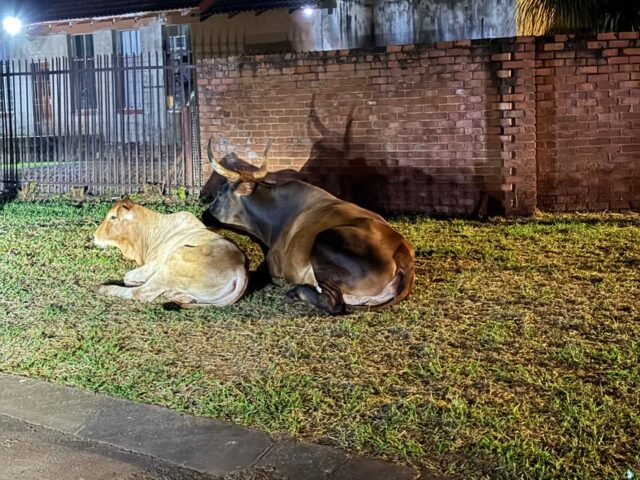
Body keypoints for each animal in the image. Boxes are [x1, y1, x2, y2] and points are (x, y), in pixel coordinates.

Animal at [93, 198, 248, 307]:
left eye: (113, 217)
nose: (94, 236)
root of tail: (240, 268)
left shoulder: (154, 265)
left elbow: (128, 277)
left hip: (174, 260)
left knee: (142, 293)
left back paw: (102, 288)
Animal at [206, 138, 415, 315]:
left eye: (220, 192)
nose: (205, 215)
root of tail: (402, 252)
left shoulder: (276, 269)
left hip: (322, 242)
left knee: (333, 303)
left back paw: (297, 291)